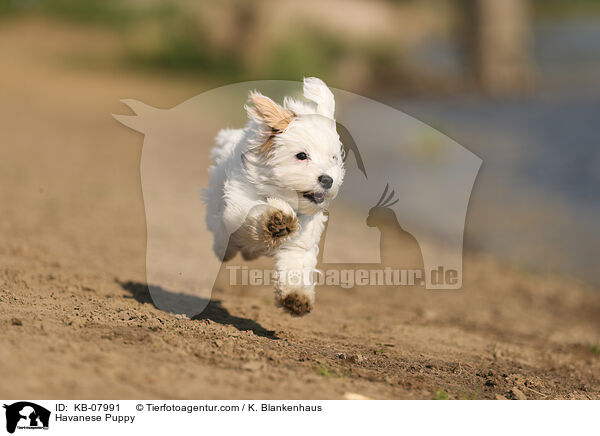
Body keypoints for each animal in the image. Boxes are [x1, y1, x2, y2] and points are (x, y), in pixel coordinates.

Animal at [206, 78, 344, 316]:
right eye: (301, 155)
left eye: (333, 158)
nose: (328, 180)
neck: (282, 195)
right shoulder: (239, 206)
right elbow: (254, 212)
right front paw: (277, 220)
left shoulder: (300, 243)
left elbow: (296, 266)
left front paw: (297, 297)